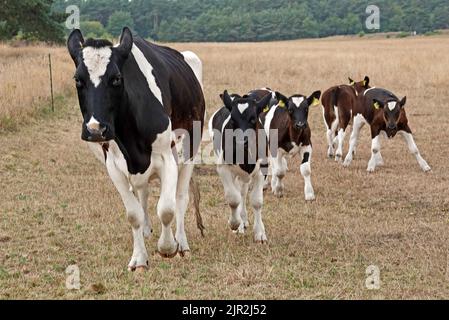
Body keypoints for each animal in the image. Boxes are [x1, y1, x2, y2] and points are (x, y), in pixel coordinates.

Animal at [66, 27, 205, 272]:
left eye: (116, 79)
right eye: (77, 80)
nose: (95, 129)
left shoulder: (167, 157)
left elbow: (166, 208)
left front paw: (168, 247)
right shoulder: (113, 166)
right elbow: (133, 214)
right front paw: (139, 258)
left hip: (190, 151)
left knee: (180, 198)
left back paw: (182, 243)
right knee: (143, 193)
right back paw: (148, 230)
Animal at [208, 91, 272, 241]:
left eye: (253, 119)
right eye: (233, 120)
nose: (241, 140)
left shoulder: (263, 168)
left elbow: (256, 201)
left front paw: (260, 233)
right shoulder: (223, 168)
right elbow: (233, 198)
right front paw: (235, 223)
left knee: (243, 193)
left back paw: (244, 219)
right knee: (238, 193)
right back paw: (240, 222)